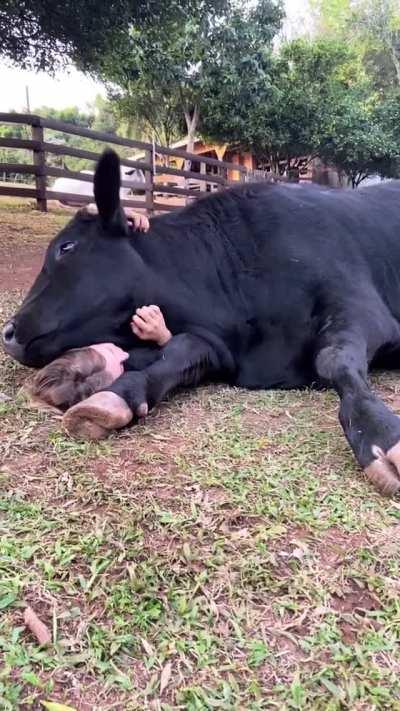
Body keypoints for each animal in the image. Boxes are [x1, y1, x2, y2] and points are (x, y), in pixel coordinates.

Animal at [3, 149, 400, 498]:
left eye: (66, 248)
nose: (7, 332)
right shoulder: (220, 347)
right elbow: (179, 352)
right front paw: (109, 389)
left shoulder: (362, 307)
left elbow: (334, 359)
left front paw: (382, 435)